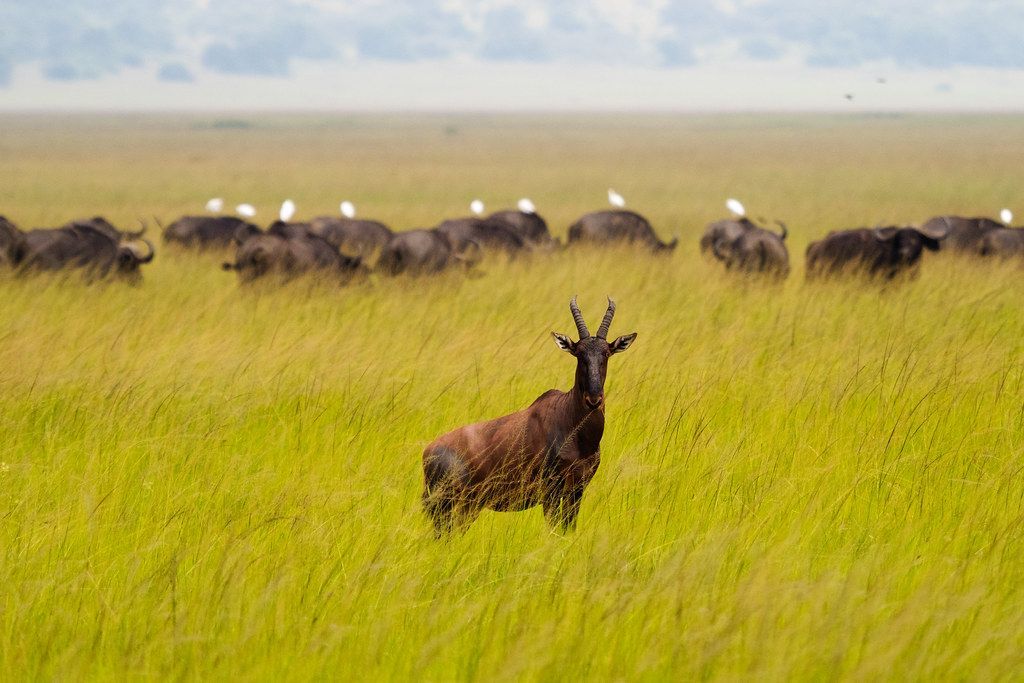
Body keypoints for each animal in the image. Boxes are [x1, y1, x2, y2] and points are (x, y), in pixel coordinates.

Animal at [421, 297, 637, 535]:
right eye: (579, 354)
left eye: (606, 353)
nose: (594, 400)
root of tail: (428, 452)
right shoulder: (551, 492)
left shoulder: (577, 491)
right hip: (448, 507)